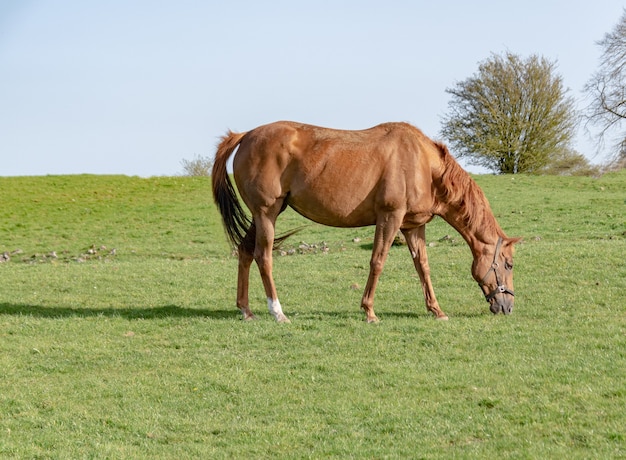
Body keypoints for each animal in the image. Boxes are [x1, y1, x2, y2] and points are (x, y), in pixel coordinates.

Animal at [212, 122, 520, 324]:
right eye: (508, 264)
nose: (507, 306)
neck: (423, 164)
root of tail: (245, 136)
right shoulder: (390, 218)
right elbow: (378, 261)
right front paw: (369, 311)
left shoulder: (413, 227)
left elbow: (423, 267)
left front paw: (436, 310)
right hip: (267, 213)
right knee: (263, 257)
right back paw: (278, 312)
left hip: (262, 215)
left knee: (245, 252)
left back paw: (246, 310)